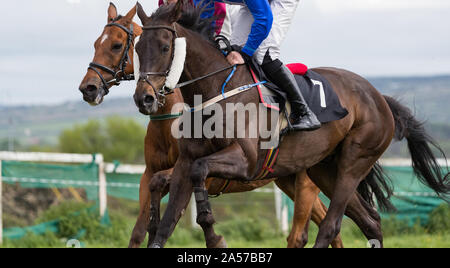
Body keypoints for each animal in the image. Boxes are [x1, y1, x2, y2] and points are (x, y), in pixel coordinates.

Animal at [78, 2, 348, 249]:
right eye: (95, 44)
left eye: (117, 45)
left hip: (305, 182)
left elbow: (173, 192)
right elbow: (140, 226)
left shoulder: (204, 174)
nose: (88, 88)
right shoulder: (147, 175)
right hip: (288, 177)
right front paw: (153, 228)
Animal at [134, 1, 450, 249]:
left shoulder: (246, 161)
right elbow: (168, 218)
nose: (143, 98)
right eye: (137, 48)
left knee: (331, 225)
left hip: (354, 162)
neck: (215, 89)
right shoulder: (185, 161)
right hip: (323, 168)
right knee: (370, 221)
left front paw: (213, 234)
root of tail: (379, 97)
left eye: (164, 47)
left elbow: (201, 172)